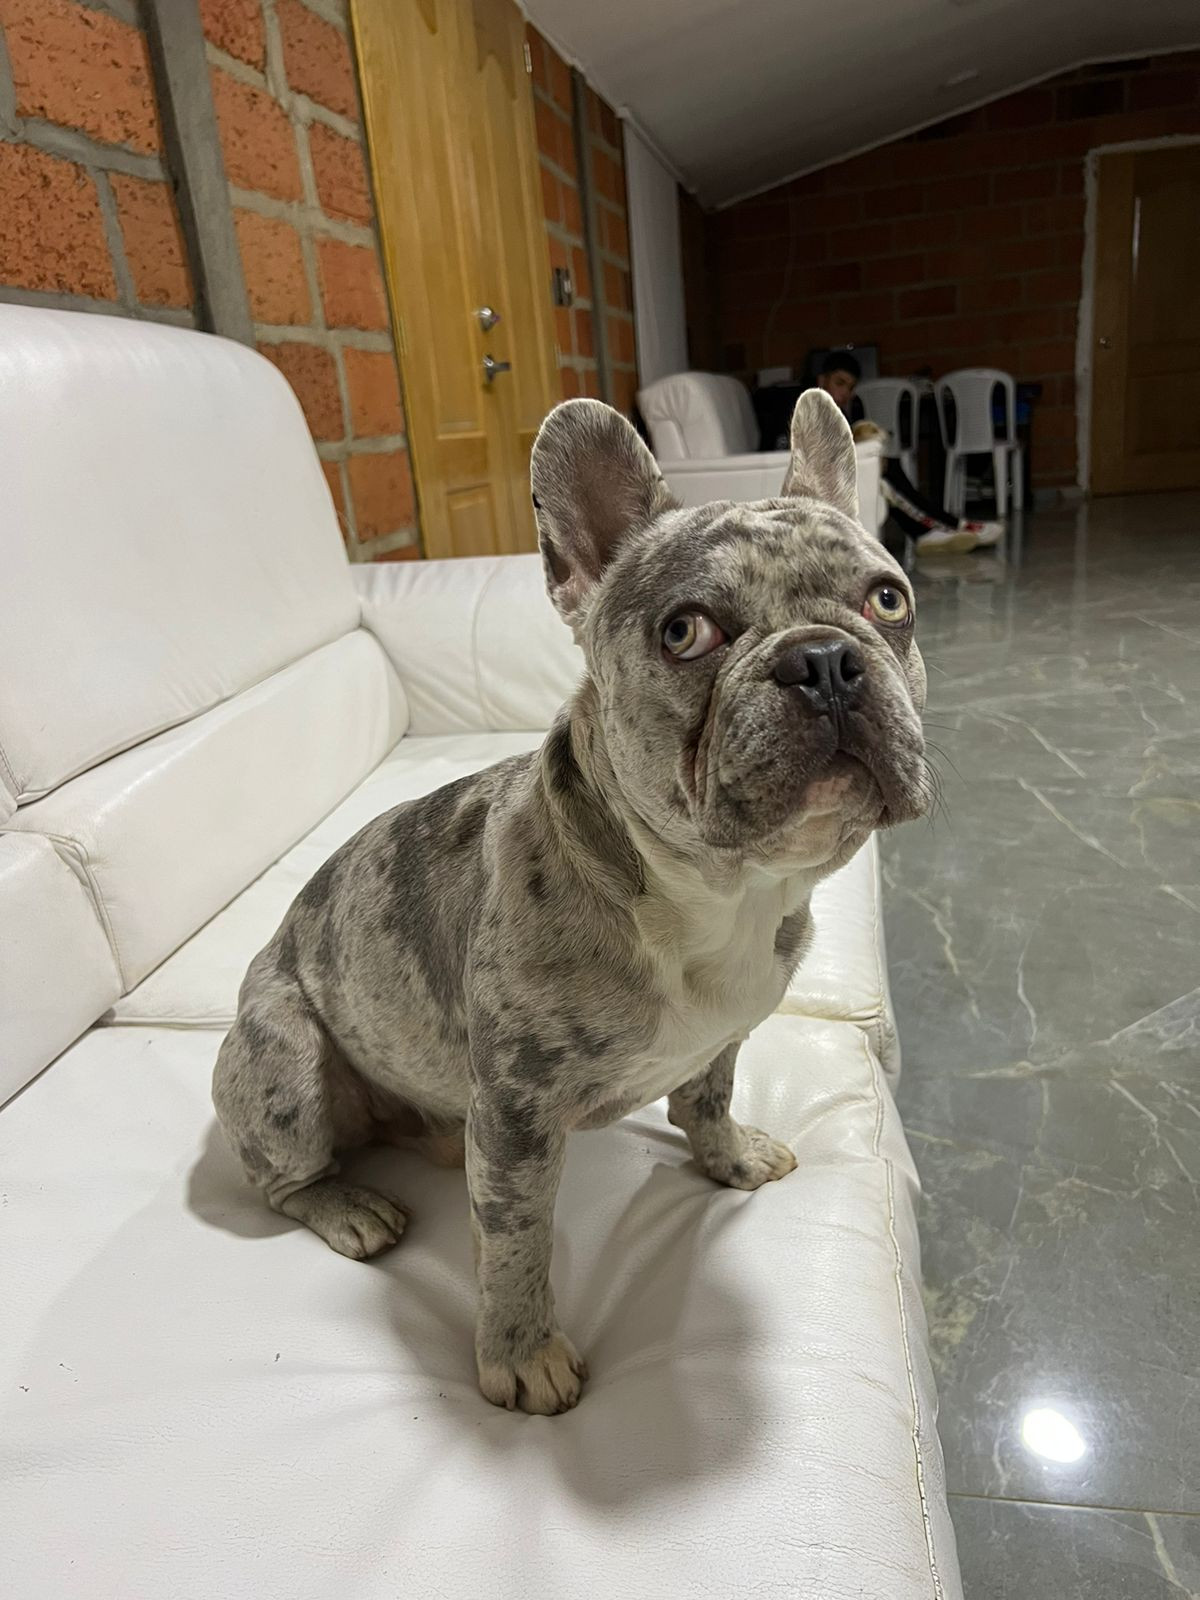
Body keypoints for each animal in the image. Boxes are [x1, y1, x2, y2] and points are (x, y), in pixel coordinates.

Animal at [213, 388, 929, 1415]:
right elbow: (516, 1240)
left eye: (889, 600)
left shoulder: (725, 1035)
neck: (716, 896)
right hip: (284, 1059)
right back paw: (348, 1206)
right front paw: (520, 1354)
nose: (825, 659)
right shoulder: (515, 1118)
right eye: (685, 632)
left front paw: (731, 1156)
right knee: (284, 1178)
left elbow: (706, 1096)